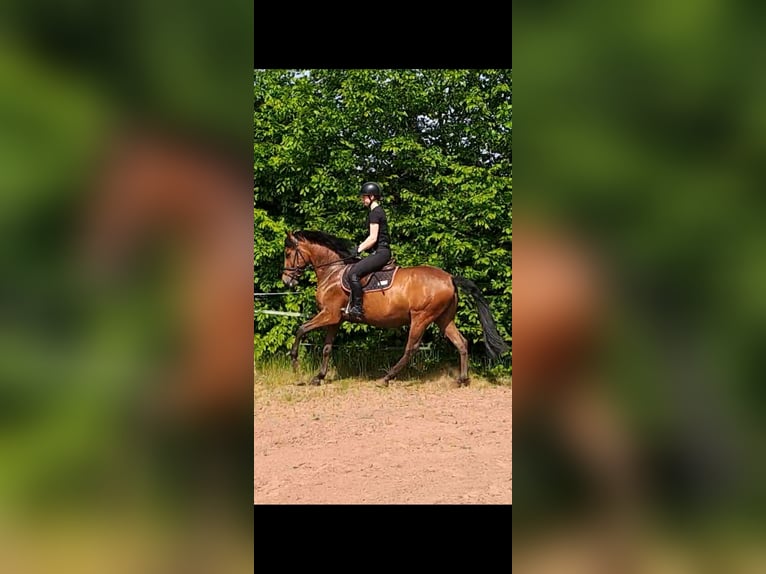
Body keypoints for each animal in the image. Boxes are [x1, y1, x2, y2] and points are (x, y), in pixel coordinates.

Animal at [280, 230, 510, 388]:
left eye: (288, 253)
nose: (286, 281)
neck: (332, 272)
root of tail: (450, 278)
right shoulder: (335, 319)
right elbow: (327, 348)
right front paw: (318, 377)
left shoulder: (328, 315)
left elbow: (301, 329)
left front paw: (295, 366)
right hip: (444, 319)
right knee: (461, 342)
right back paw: (462, 379)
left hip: (421, 318)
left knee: (411, 348)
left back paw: (386, 377)